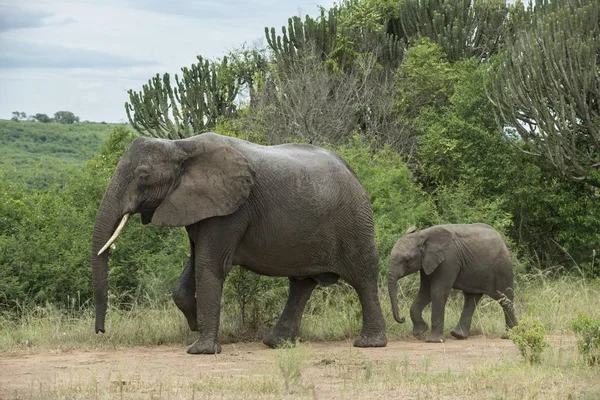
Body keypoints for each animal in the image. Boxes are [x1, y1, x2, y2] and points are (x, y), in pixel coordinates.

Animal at [91, 133, 386, 354]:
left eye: (143, 176)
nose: (100, 331)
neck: (180, 145)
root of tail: (352, 171)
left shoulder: (232, 209)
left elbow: (210, 265)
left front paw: (201, 349)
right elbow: (193, 265)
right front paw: (196, 325)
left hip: (354, 220)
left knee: (362, 276)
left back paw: (369, 343)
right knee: (301, 284)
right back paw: (275, 343)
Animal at [386, 223, 516, 342]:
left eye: (406, 260)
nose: (402, 318)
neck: (422, 235)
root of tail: (502, 240)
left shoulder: (448, 260)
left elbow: (438, 292)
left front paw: (434, 341)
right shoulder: (427, 263)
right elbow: (425, 292)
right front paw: (419, 332)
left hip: (502, 268)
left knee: (505, 299)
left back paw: (509, 336)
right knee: (471, 298)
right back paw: (459, 335)